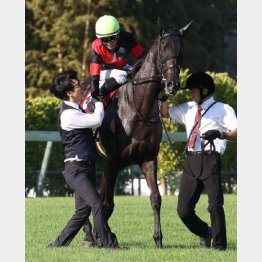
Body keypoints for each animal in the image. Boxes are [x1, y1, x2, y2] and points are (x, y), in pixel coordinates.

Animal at [81, 17, 191, 248]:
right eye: (163, 46)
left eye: (182, 48)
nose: (172, 84)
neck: (139, 108)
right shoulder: (112, 161)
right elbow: (106, 202)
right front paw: (102, 237)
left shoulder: (147, 158)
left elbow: (155, 198)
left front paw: (158, 239)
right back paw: (88, 234)